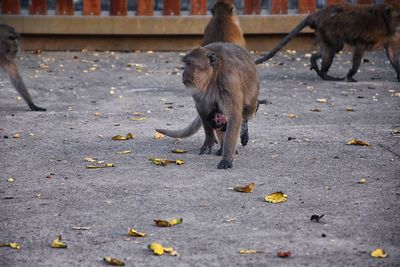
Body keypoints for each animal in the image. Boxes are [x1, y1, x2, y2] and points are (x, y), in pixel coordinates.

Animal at [156, 43, 260, 171]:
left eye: (189, 63)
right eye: (186, 64)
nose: (184, 73)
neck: (214, 76)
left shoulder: (228, 80)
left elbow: (234, 115)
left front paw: (227, 157)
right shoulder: (199, 89)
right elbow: (203, 110)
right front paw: (209, 141)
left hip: (253, 88)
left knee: (248, 108)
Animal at [255, 3, 400, 82]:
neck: (386, 20)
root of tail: (319, 14)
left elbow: (391, 53)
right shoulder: (366, 38)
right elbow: (359, 49)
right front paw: (350, 75)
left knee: (331, 49)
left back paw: (315, 61)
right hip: (328, 27)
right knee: (334, 48)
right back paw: (325, 75)